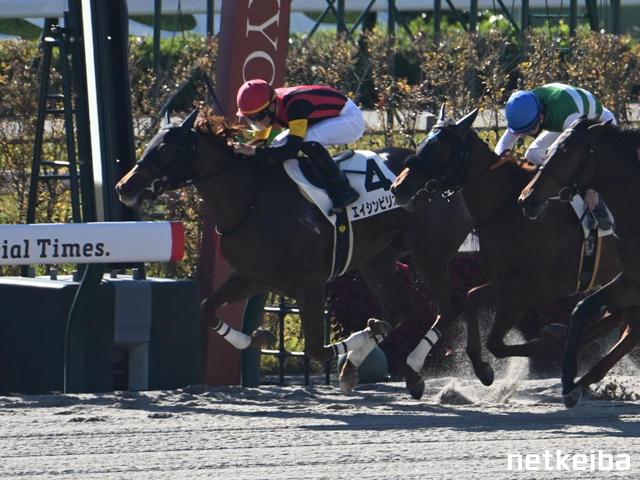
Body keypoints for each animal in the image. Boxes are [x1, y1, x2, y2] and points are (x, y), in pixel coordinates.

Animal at [115, 107, 473, 398]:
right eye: (151, 144)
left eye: (165, 148)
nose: (124, 187)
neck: (251, 200)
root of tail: (448, 184)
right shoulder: (252, 277)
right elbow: (206, 308)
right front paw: (257, 338)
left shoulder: (310, 283)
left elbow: (316, 349)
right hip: (376, 260)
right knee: (399, 308)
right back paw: (364, 358)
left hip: (429, 255)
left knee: (449, 305)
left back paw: (411, 371)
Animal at [390, 107, 621, 387]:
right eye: (423, 143)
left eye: (441, 148)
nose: (398, 187)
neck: (505, 209)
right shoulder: (514, 293)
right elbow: (493, 339)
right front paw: (486, 368)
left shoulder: (532, 286)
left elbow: (472, 299)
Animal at [519, 117, 640, 407]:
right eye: (549, 150)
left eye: (567, 153)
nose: (527, 198)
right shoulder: (631, 281)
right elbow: (581, 309)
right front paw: (568, 381)